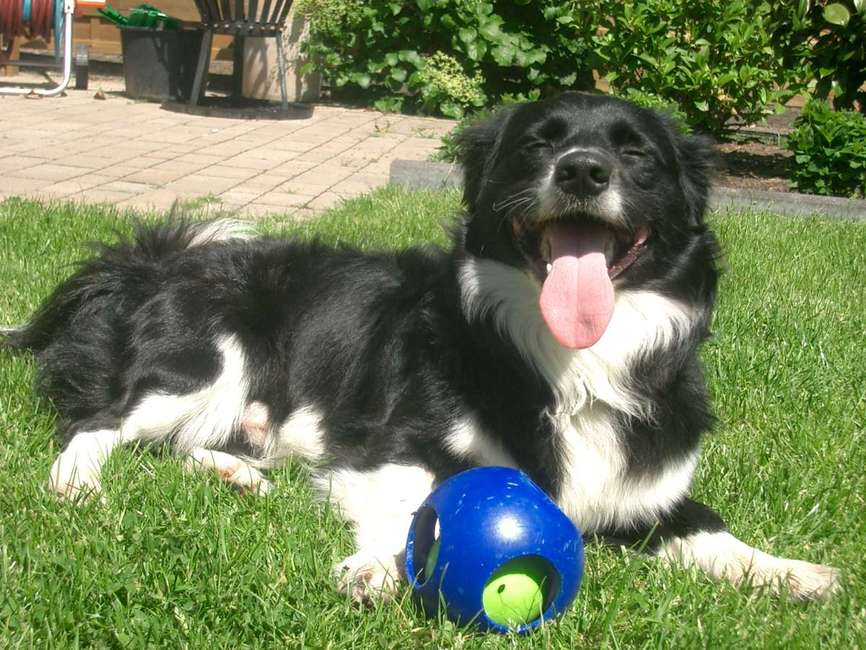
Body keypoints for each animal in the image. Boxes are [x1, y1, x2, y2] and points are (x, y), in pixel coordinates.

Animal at [2, 92, 838, 603]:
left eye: (636, 155)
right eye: (538, 145)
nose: (582, 170)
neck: (571, 363)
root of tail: (150, 261)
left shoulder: (646, 487)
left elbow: (710, 529)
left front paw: (790, 572)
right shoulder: (392, 445)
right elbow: (411, 509)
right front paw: (374, 567)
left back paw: (239, 475)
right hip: (208, 360)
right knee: (99, 423)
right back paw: (79, 484)